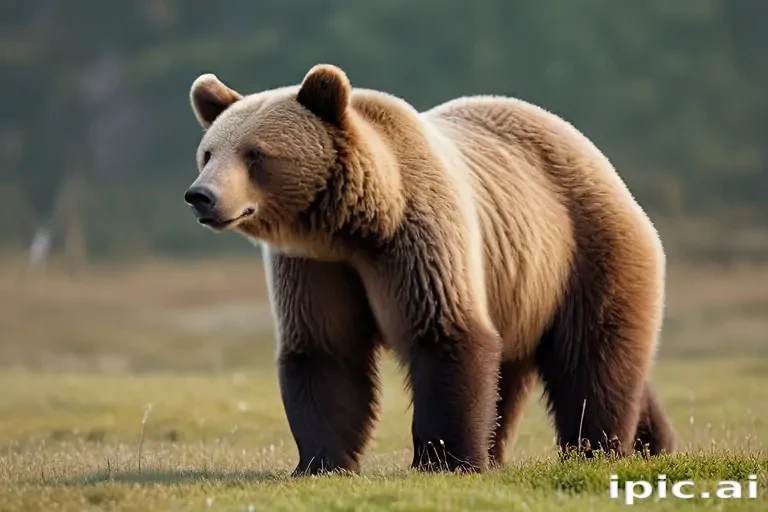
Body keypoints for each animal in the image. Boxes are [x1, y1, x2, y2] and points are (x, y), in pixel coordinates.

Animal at [184, 63, 675, 475]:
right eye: (208, 153)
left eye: (255, 154)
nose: (201, 196)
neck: (355, 226)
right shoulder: (316, 266)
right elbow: (325, 352)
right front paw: (320, 462)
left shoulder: (417, 239)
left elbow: (444, 333)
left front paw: (447, 460)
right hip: (518, 290)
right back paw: (647, 443)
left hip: (584, 251)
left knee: (593, 358)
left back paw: (601, 448)